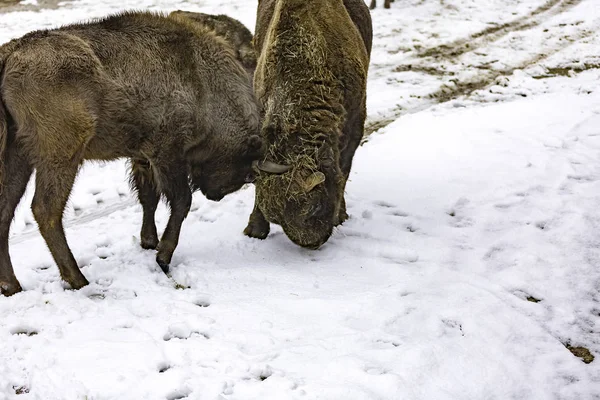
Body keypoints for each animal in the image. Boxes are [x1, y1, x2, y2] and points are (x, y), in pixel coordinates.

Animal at [0, 10, 262, 296]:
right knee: (45, 210)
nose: (214, 194)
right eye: (242, 168)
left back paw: (11, 285)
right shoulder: (167, 152)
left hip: (18, 155)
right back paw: (79, 280)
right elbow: (181, 201)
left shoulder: (143, 156)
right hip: (61, 156)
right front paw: (163, 256)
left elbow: (149, 197)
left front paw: (149, 241)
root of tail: (11, 53)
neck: (201, 80)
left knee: (6, 209)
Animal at [244, 0, 370, 248]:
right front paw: (255, 229)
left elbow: (345, 168)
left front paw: (341, 216)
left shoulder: (355, 121)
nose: (312, 243)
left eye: (314, 207)